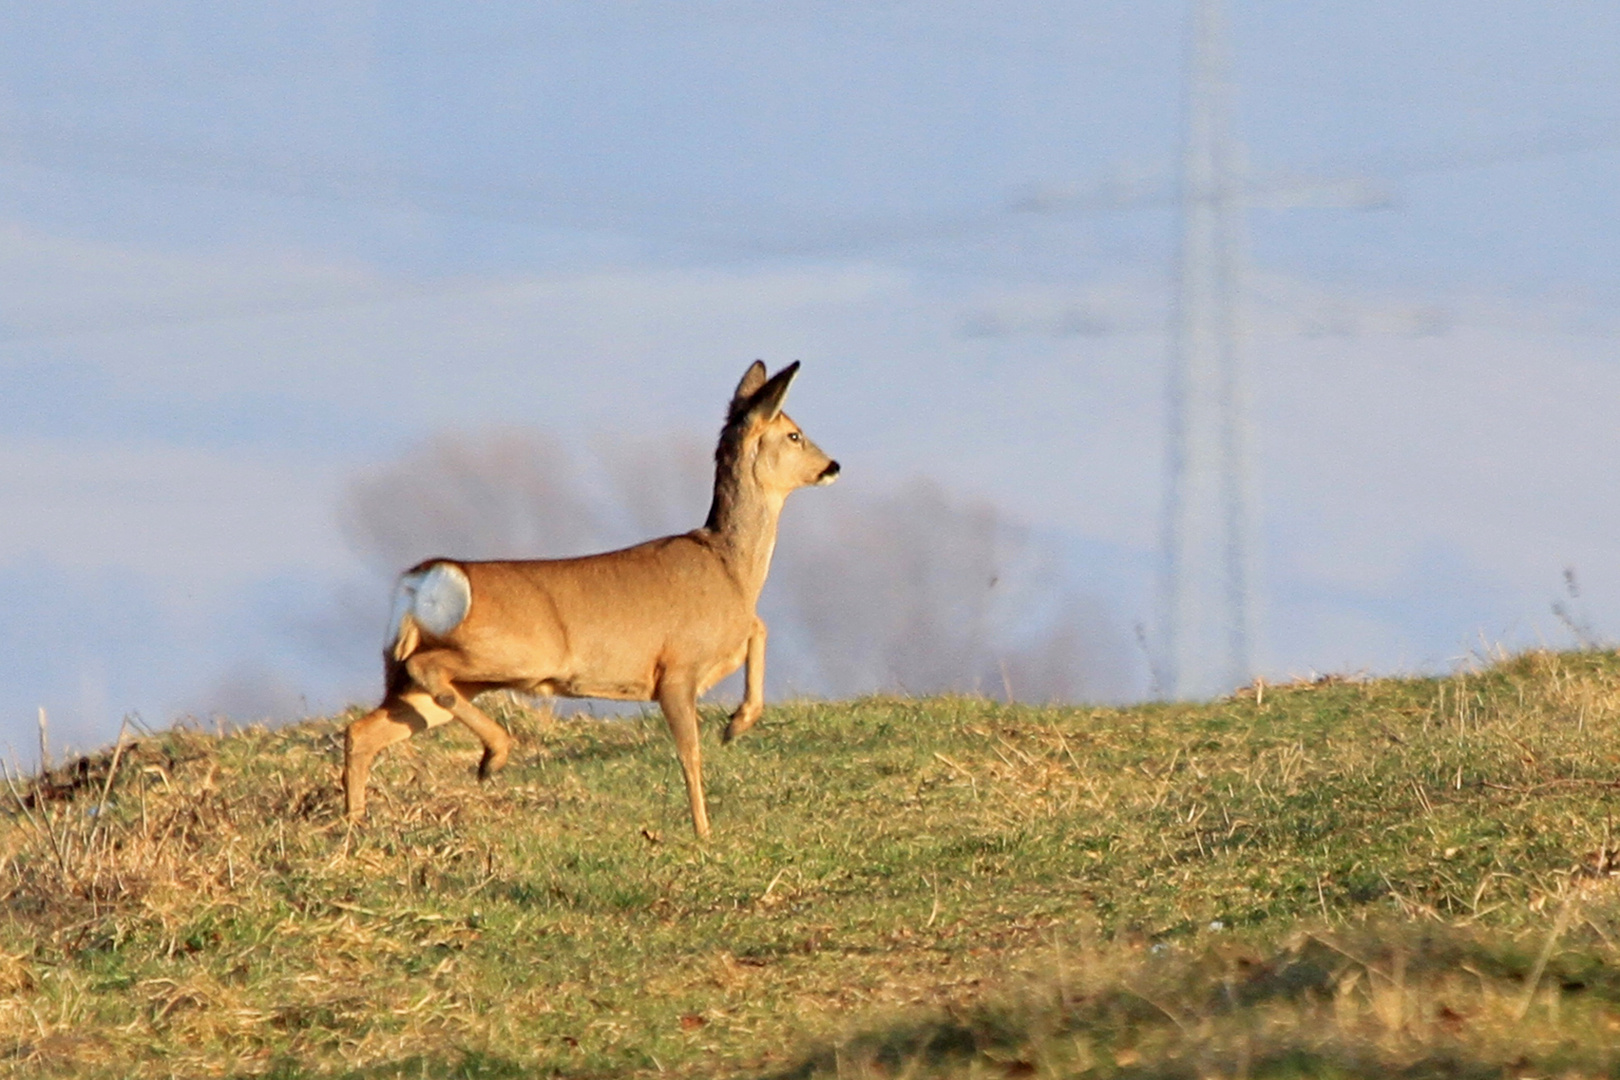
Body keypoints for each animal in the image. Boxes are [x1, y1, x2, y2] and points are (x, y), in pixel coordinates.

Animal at [346, 362, 842, 835]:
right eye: (794, 434)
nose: (832, 466)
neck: (731, 570)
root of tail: (422, 580)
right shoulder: (676, 669)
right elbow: (690, 752)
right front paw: (704, 830)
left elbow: (760, 628)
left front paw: (737, 724)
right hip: (514, 653)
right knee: (423, 669)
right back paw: (494, 756)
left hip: (435, 677)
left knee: (363, 730)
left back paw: (355, 824)